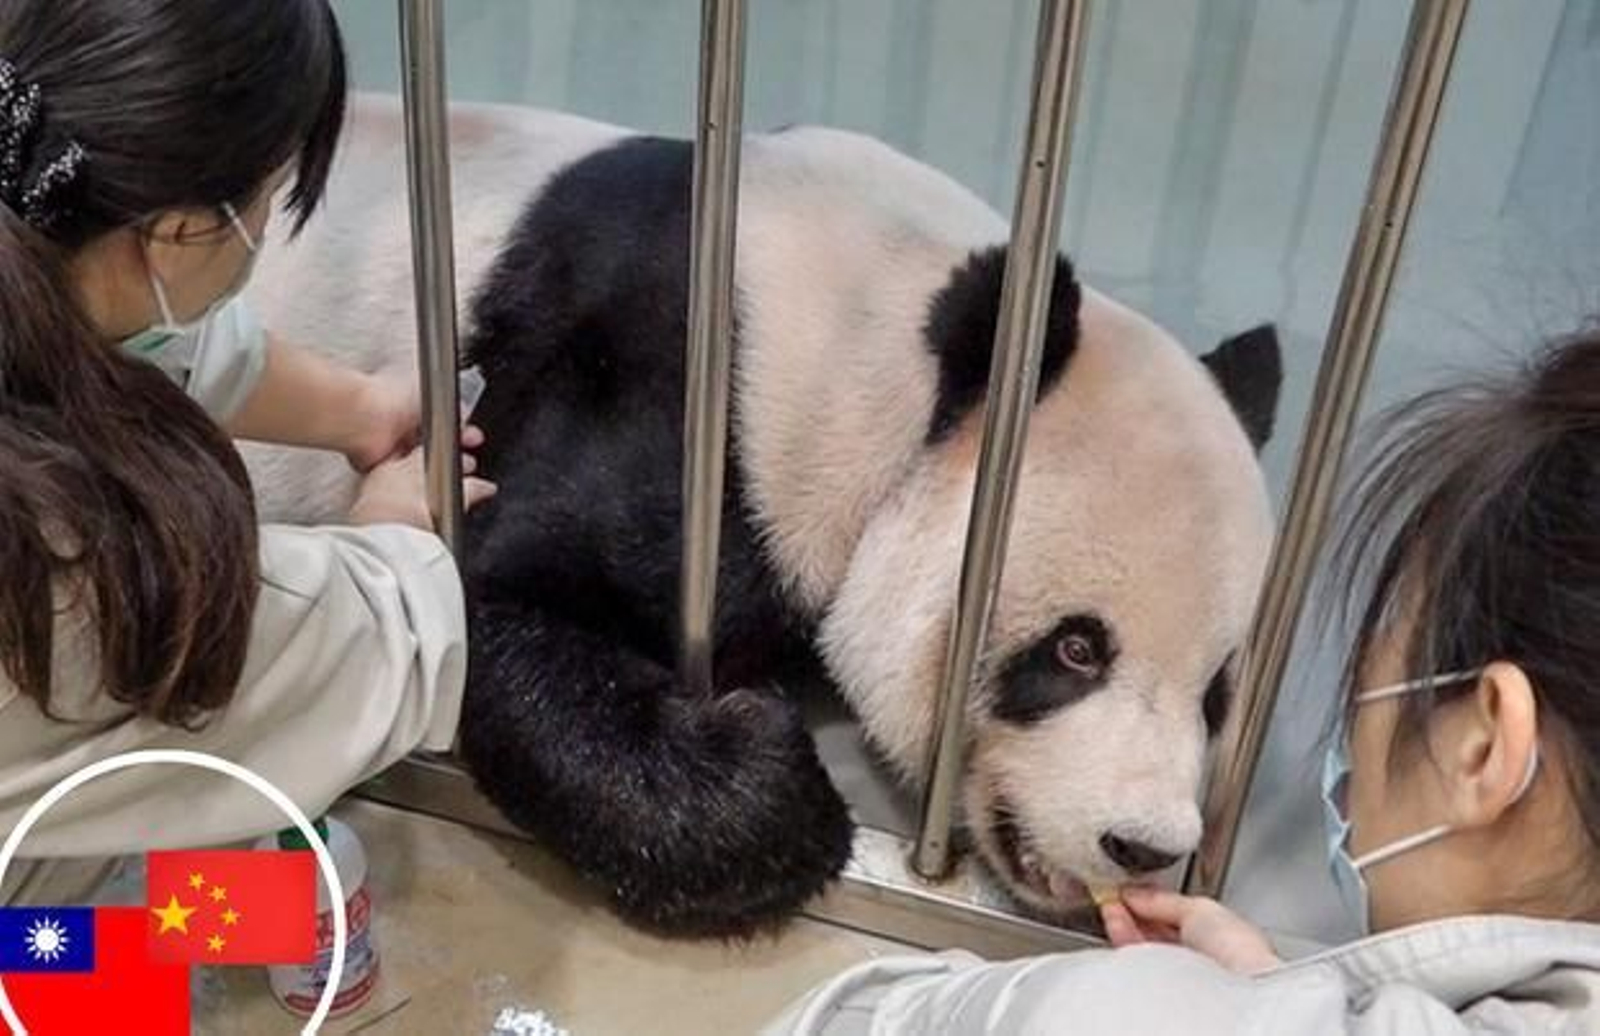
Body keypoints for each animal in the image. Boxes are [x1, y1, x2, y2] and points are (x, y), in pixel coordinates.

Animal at [244, 93, 1283, 938]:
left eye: (1218, 694)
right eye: (1075, 650)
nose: (1145, 845)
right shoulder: (680, 400)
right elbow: (485, 595)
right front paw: (775, 772)